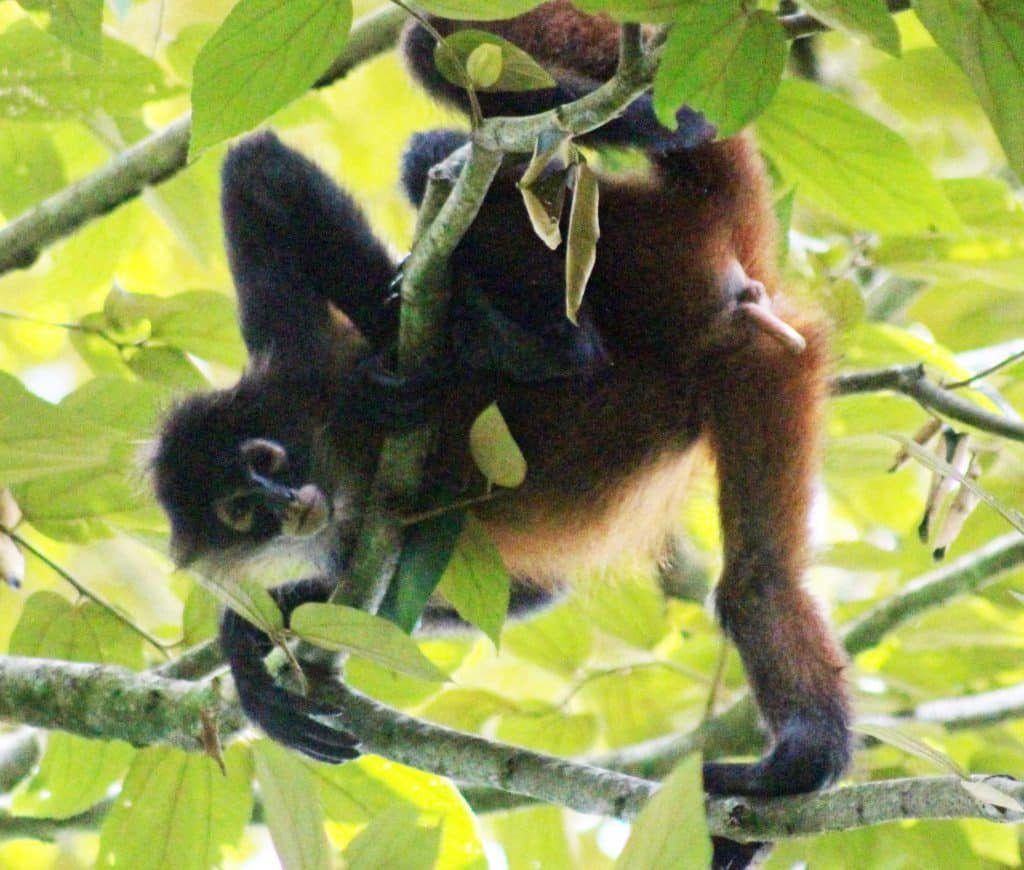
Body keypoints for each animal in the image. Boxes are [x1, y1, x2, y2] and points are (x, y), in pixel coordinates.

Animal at [151, 3, 851, 859]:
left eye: (264, 461)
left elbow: (262, 171)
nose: (284, 504)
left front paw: (415, 368)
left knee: (435, 148)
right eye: (240, 511)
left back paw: (544, 331)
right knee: (757, 581)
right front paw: (251, 653)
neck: (337, 464)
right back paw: (802, 764)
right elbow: (519, 592)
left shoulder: (297, 363)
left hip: (621, 242)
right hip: (755, 361)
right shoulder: (344, 530)